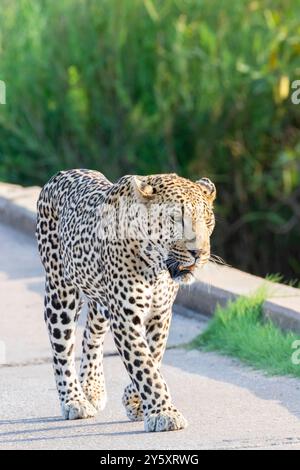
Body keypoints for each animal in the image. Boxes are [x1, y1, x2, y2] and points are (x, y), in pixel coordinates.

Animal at [35, 170, 216, 434]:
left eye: (208, 219)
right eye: (175, 218)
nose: (199, 253)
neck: (156, 269)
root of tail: (60, 175)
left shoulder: (160, 314)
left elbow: (153, 357)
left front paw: (136, 402)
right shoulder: (125, 318)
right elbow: (144, 366)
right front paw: (164, 413)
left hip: (101, 301)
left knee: (91, 334)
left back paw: (92, 388)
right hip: (60, 292)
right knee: (62, 349)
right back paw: (74, 400)